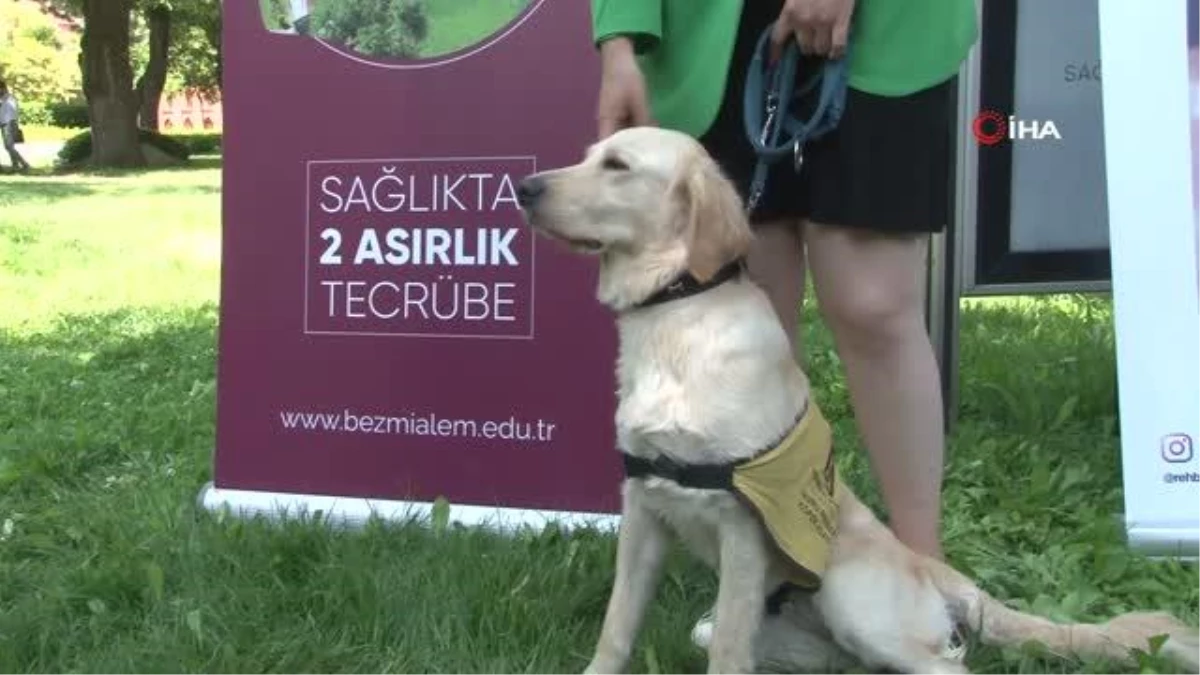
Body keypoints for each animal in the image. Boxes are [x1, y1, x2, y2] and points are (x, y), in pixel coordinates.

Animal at [513, 126, 1200, 672]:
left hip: (847, 597)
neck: (678, 318)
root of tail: (935, 570)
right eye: (589, 155)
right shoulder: (643, 509)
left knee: (948, 666)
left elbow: (728, 652)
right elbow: (617, 627)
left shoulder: (742, 528)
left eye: (618, 166)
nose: (523, 186)